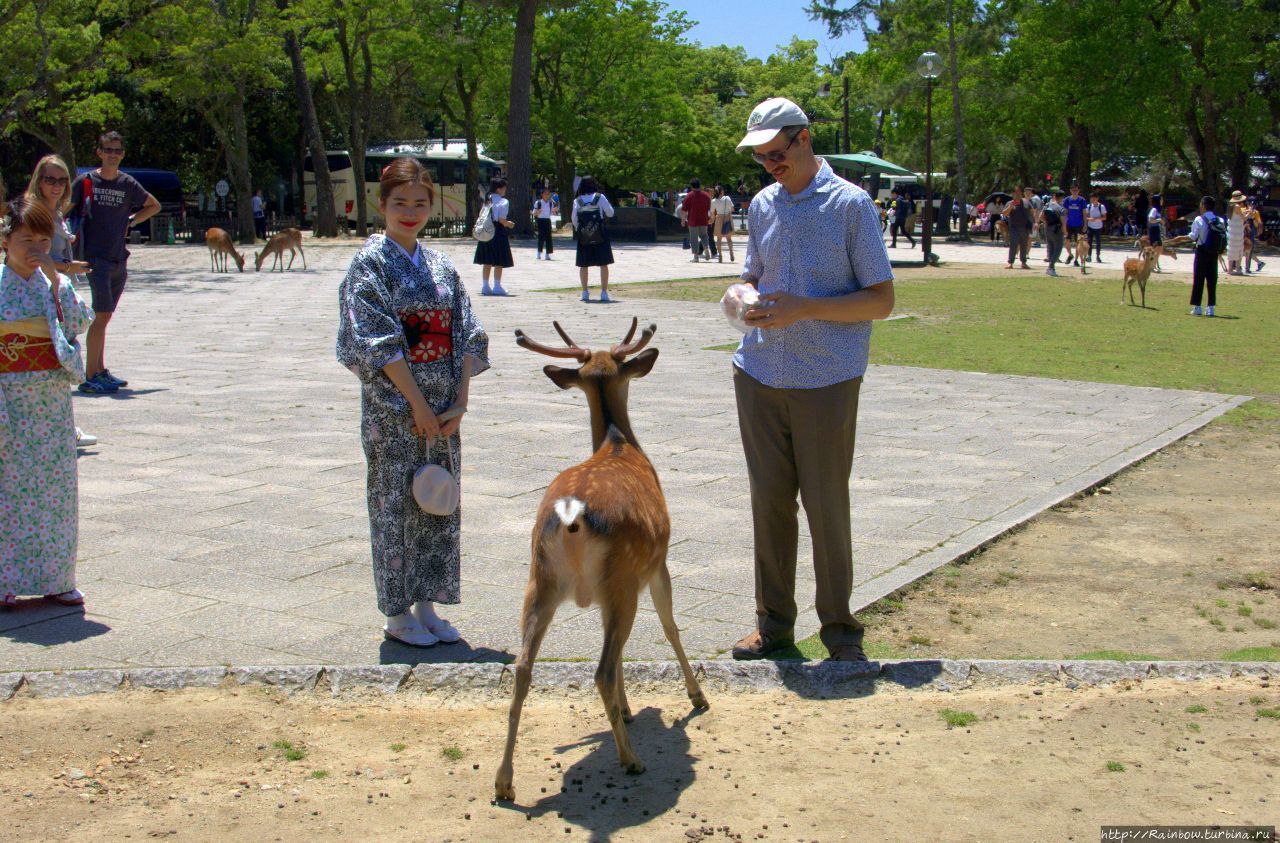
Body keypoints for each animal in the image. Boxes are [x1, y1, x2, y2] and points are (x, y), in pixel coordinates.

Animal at [491, 318, 711, 803]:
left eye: (605, 367)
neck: (619, 443)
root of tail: (572, 516)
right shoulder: (658, 563)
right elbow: (670, 626)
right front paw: (697, 698)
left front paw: (627, 710)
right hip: (621, 577)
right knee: (602, 670)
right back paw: (631, 759)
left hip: (541, 580)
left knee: (522, 668)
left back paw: (504, 782)